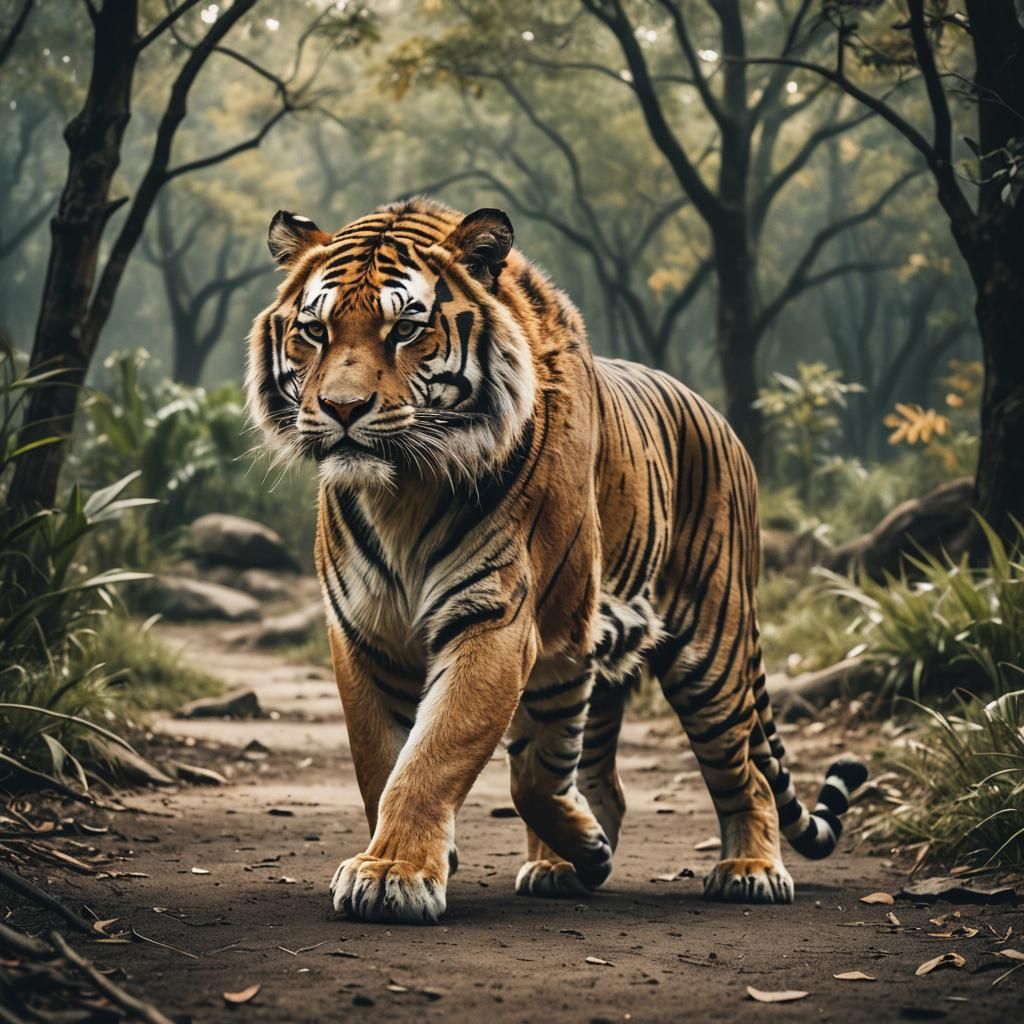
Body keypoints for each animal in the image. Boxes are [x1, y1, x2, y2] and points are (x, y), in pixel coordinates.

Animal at [245, 196, 867, 924]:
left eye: (406, 329)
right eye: (314, 332)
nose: (342, 410)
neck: (403, 491)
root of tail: (724, 424)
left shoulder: (500, 623)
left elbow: (448, 757)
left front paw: (392, 873)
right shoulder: (366, 633)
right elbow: (385, 762)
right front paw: (433, 856)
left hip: (710, 651)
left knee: (743, 773)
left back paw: (750, 870)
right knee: (601, 776)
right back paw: (562, 866)